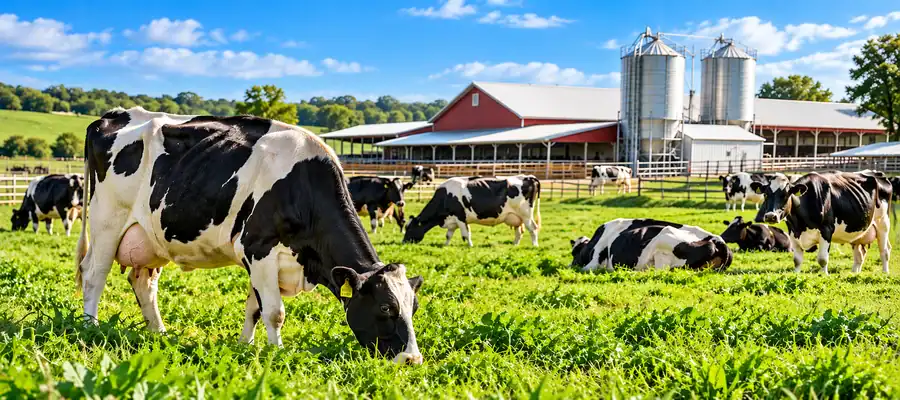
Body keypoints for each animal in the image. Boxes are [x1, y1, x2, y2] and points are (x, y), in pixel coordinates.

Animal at [75, 107, 425, 364]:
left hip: (150, 236)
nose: (412, 359)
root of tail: (113, 115)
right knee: (94, 274)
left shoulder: (264, 259)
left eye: (414, 307)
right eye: (385, 308)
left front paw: (246, 345)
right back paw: (91, 327)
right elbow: (274, 312)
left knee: (143, 282)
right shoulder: (259, 248)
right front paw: (277, 352)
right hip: (107, 220)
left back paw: (158, 332)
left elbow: (254, 308)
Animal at [402, 175, 541, 247]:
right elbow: (449, 235)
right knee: (519, 231)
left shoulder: (460, 217)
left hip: (526, 215)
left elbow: (465, 234)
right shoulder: (452, 220)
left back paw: (535, 245)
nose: (403, 242)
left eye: (409, 229)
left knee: (533, 229)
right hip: (516, 217)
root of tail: (528, 177)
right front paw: (445, 245)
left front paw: (470, 246)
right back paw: (515, 245)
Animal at [752, 171, 892, 274]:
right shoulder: (793, 232)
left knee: (885, 251)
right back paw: (854, 273)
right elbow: (797, 260)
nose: (770, 216)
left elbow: (822, 259)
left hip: (883, 222)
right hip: (859, 232)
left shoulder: (826, 230)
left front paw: (824, 276)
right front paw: (796, 274)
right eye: (766, 194)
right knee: (859, 254)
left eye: (786, 195)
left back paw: (885, 273)